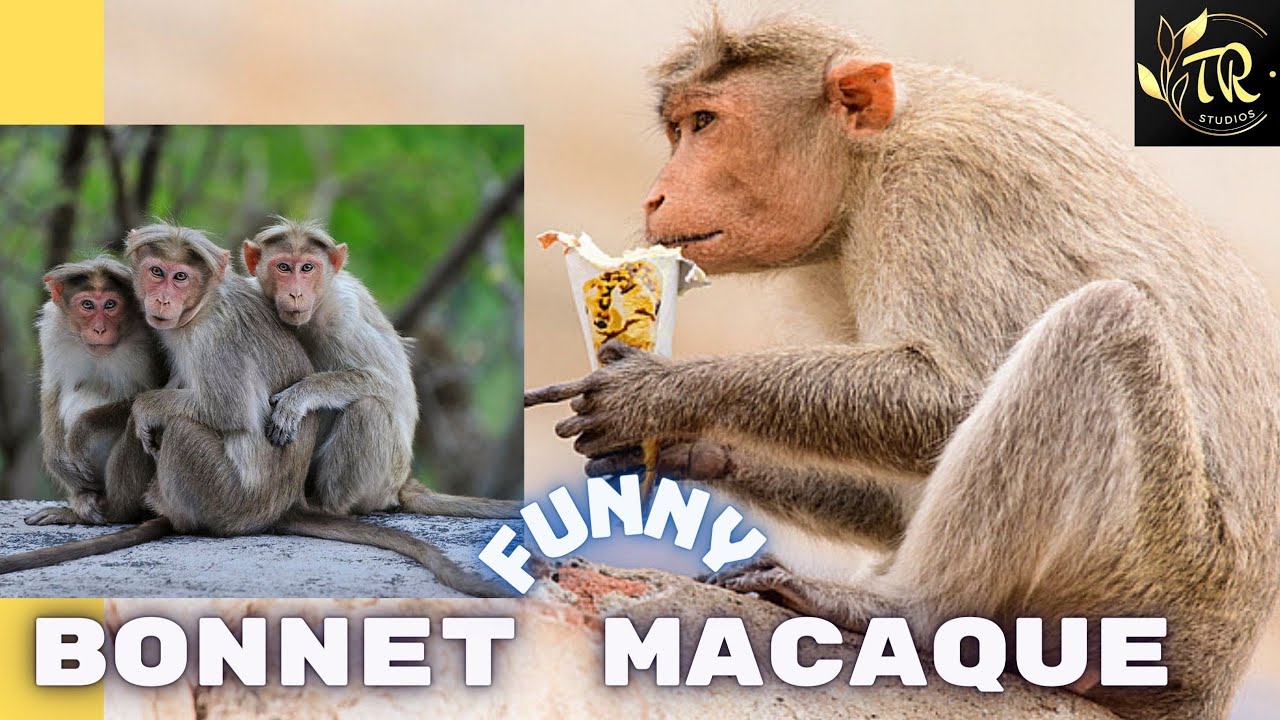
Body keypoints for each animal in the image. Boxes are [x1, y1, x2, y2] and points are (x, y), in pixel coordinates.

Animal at [23, 258, 163, 527]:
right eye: (87, 305)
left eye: (110, 304)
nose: (100, 329)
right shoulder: (51, 329)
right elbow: (52, 385)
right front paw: (56, 459)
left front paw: (81, 431)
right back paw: (78, 505)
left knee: (137, 422)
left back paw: (115, 512)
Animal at [240, 217, 520, 519]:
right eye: (283, 267)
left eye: (307, 268)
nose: (295, 293)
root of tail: (401, 484)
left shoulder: (343, 318)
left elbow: (388, 383)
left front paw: (299, 397)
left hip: (383, 477)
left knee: (368, 408)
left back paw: (327, 506)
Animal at [525, 16, 1280, 720]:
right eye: (677, 128)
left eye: (705, 124)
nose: (654, 197)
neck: (870, 155)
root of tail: (1209, 680)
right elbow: (905, 482)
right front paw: (692, 449)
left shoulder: (934, 186)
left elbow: (951, 394)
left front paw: (657, 393)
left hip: (1156, 585)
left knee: (1100, 325)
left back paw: (909, 615)